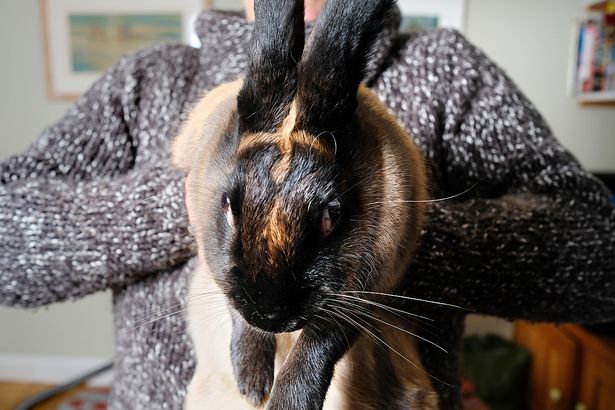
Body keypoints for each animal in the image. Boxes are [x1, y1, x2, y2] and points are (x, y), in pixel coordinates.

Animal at [172, 0, 438, 408]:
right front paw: (252, 382)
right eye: (228, 205)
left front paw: (288, 401)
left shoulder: (364, 291)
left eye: (331, 215)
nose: (270, 315)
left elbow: (320, 344)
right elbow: (240, 318)